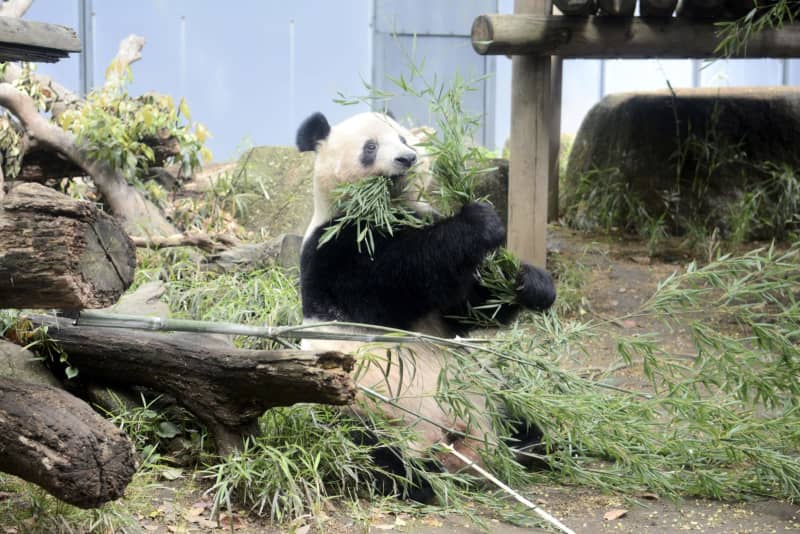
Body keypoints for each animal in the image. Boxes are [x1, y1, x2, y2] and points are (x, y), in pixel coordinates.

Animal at [296, 111, 556, 500]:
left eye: (404, 139)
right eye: (370, 147)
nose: (408, 158)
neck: (386, 207)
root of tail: (462, 454)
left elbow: (463, 305)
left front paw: (528, 281)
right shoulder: (333, 245)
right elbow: (391, 279)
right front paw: (478, 221)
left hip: (483, 397)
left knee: (519, 420)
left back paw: (531, 448)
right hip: (353, 403)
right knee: (366, 448)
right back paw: (421, 479)